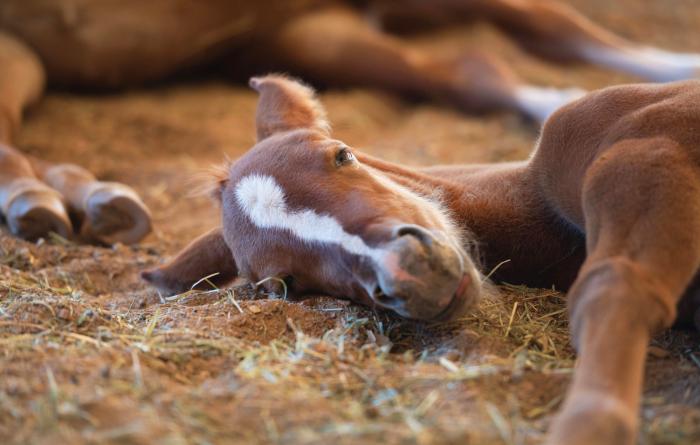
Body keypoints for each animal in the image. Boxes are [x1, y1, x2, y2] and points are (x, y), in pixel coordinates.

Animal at [144, 74, 700, 445]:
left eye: (342, 154)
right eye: (284, 285)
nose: (410, 274)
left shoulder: (651, 152)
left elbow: (615, 285)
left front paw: (589, 423)